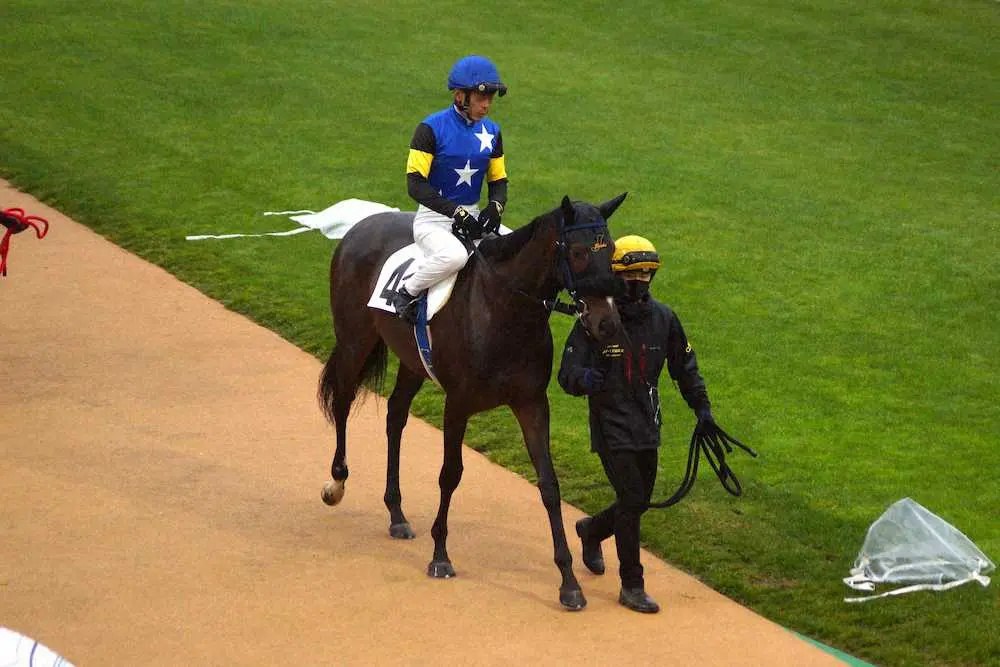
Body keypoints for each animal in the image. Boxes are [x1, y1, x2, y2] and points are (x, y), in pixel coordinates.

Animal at [317, 193, 627, 610]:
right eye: (578, 253)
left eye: (610, 252)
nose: (607, 323)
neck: (503, 310)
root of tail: (361, 225)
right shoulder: (458, 403)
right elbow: (450, 474)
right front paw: (440, 555)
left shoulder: (532, 403)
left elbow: (549, 485)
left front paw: (568, 582)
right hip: (355, 340)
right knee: (344, 400)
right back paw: (337, 482)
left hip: (412, 361)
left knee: (395, 414)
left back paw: (396, 512)